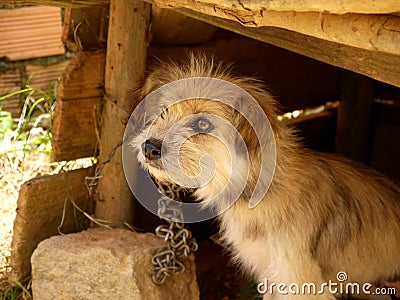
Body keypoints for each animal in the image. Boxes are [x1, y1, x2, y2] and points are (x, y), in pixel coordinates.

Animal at [130, 55, 398, 298]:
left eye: (203, 124)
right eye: (164, 111)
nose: (149, 147)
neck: (259, 191)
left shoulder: (300, 281)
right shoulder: (270, 274)